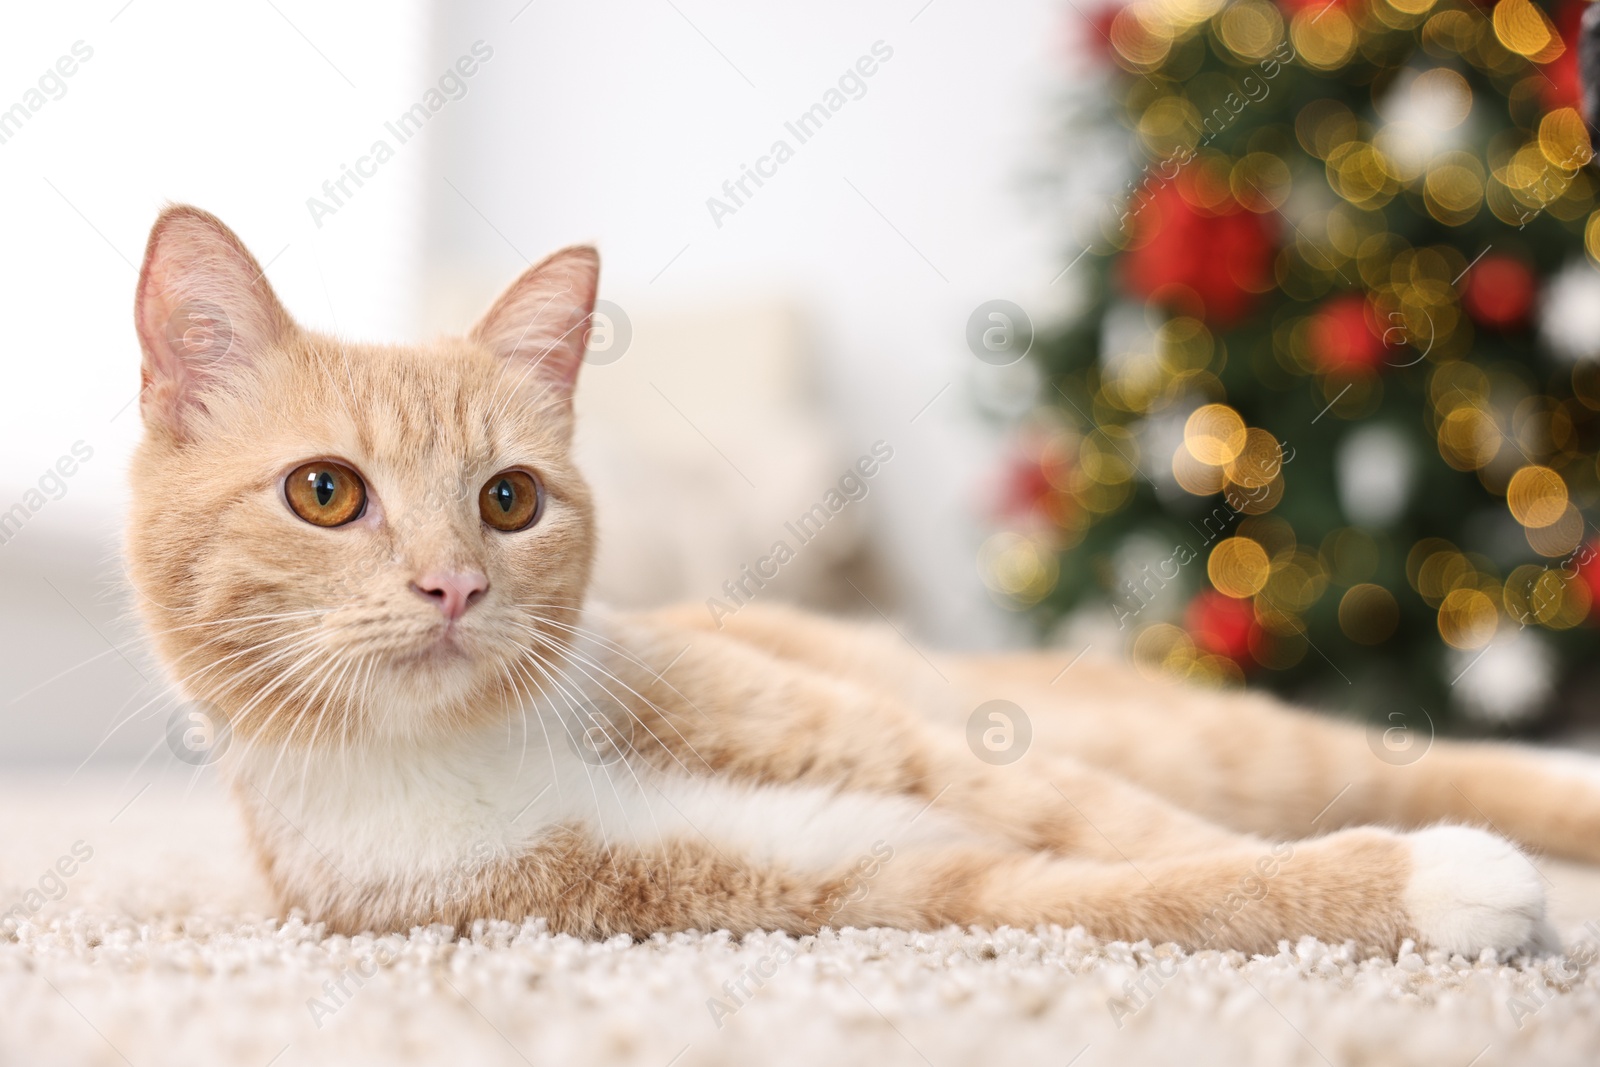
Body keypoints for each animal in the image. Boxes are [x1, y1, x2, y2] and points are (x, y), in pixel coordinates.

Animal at [128, 204, 1600, 953]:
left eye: (510, 499)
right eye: (327, 492)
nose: (451, 588)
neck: (472, 752)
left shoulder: (915, 747)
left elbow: (1151, 832)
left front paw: (1467, 883)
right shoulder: (873, 887)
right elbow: (1152, 887)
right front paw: (1436, 888)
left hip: (1138, 724)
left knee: (1381, 760)